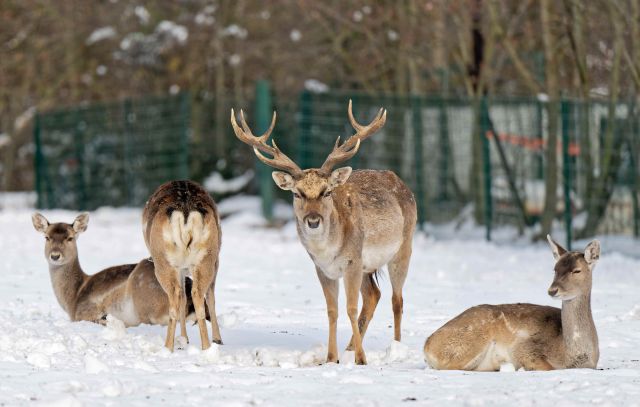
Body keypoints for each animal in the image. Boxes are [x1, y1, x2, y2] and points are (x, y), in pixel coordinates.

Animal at [30, 212, 202, 330]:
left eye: (70, 238)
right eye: (46, 237)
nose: (55, 255)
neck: (73, 298)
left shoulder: (83, 313)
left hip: (145, 304)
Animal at [142, 180, 222, 352]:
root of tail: (186, 213)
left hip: (165, 263)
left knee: (177, 298)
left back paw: (168, 347)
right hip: (206, 258)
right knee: (197, 295)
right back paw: (206, 347)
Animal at [232, 100, 418, 364]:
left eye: (327, 192)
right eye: (297, 193)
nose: (313, 220)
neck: (329, 251)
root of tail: (401, 182)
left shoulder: (353, 260)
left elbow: (350, 308)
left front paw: (361, 359)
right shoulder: (323, 269)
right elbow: (333, 310)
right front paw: (332, 358)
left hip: (403, 247)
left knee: (397, 299)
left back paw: (395, 348)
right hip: (368, 266)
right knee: (374, 295)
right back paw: (350, 347)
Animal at [424, 236, 600, 372]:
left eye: (577, 270)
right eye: (555, 269)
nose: (552, 290)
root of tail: (427, 345)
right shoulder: (524, 348)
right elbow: (546, 367)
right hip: (470, 342)